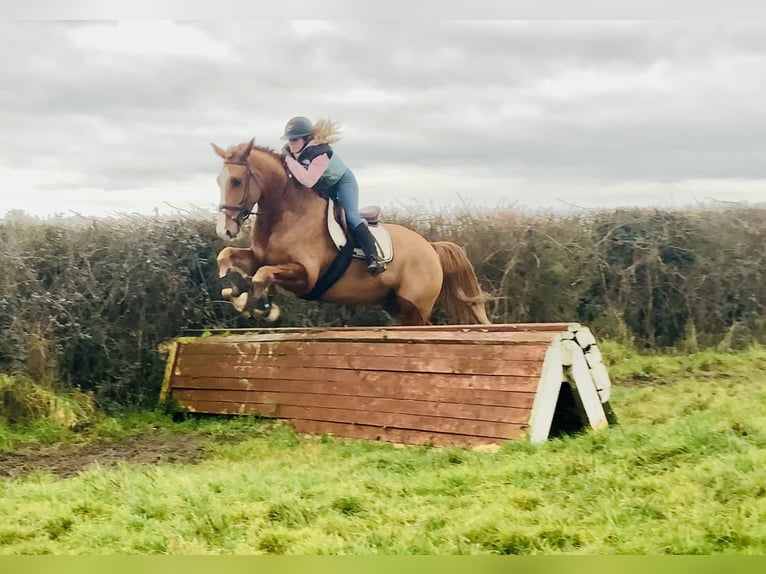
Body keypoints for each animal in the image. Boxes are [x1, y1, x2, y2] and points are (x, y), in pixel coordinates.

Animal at [211, 138, 491, 326]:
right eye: (218, 180)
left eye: (236, 181)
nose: (225, 229)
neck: (286, 214)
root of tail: (431, 247)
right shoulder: (260, 257)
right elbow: (227, 256)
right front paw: (233, 290)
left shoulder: (306, 275)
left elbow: (261, 276)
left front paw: (261, 307)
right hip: (398, 306)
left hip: (416, 306)